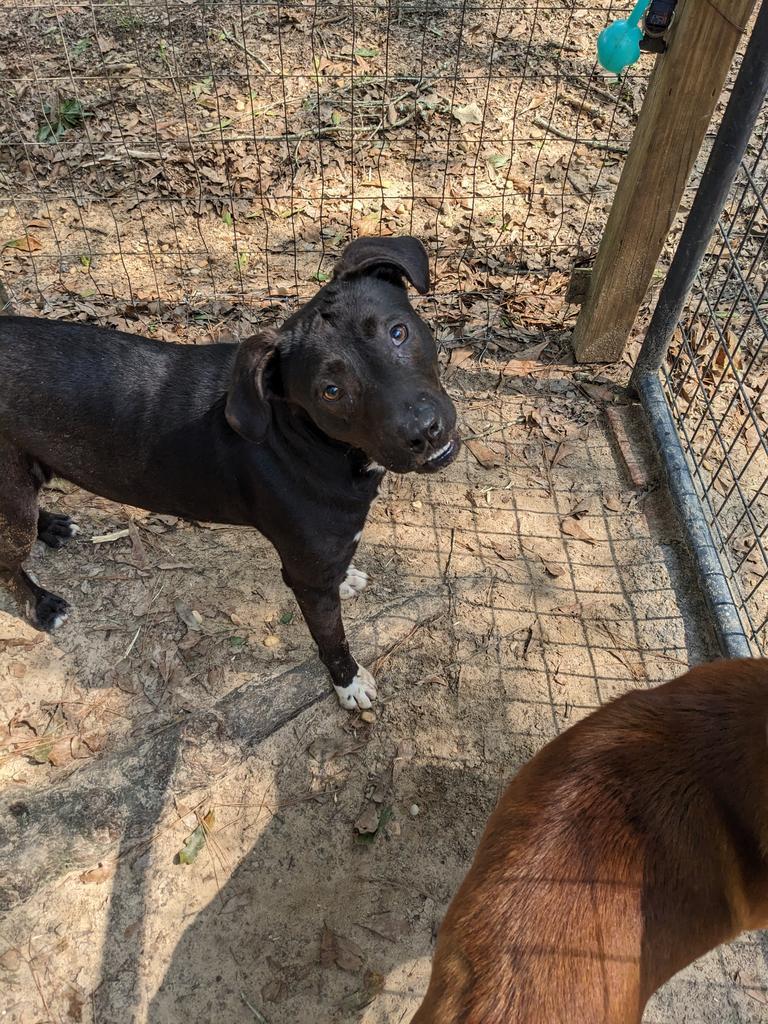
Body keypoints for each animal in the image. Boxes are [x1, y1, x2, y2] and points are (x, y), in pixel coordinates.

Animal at [0, 235, 456, 708]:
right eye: (331, 392)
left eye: (398, 332)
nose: (424, 431)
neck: (303, 435)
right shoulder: (307, 580)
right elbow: (331, 638)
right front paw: (348, 683)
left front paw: (346, 580)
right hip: (11, 500)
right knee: (5, 563)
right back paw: (42, 603)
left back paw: (51, 526)